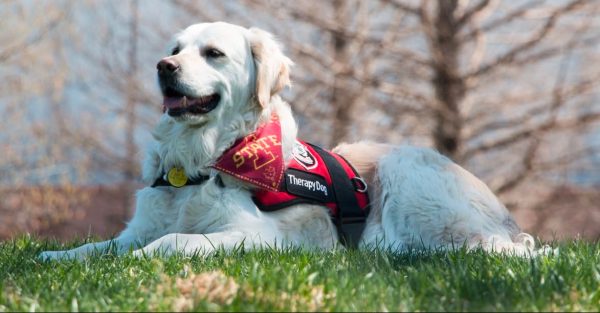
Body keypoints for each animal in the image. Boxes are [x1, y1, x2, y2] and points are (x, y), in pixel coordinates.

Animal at [39, 22, 540, 260]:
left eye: (213, 53)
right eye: (175, 49)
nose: (164, 67)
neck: (201, 160)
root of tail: (507, 222)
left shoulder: (260, 236)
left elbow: (175, 241)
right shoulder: (138, 227)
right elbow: (97, 247)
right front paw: (55, 256)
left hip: (409, 171)